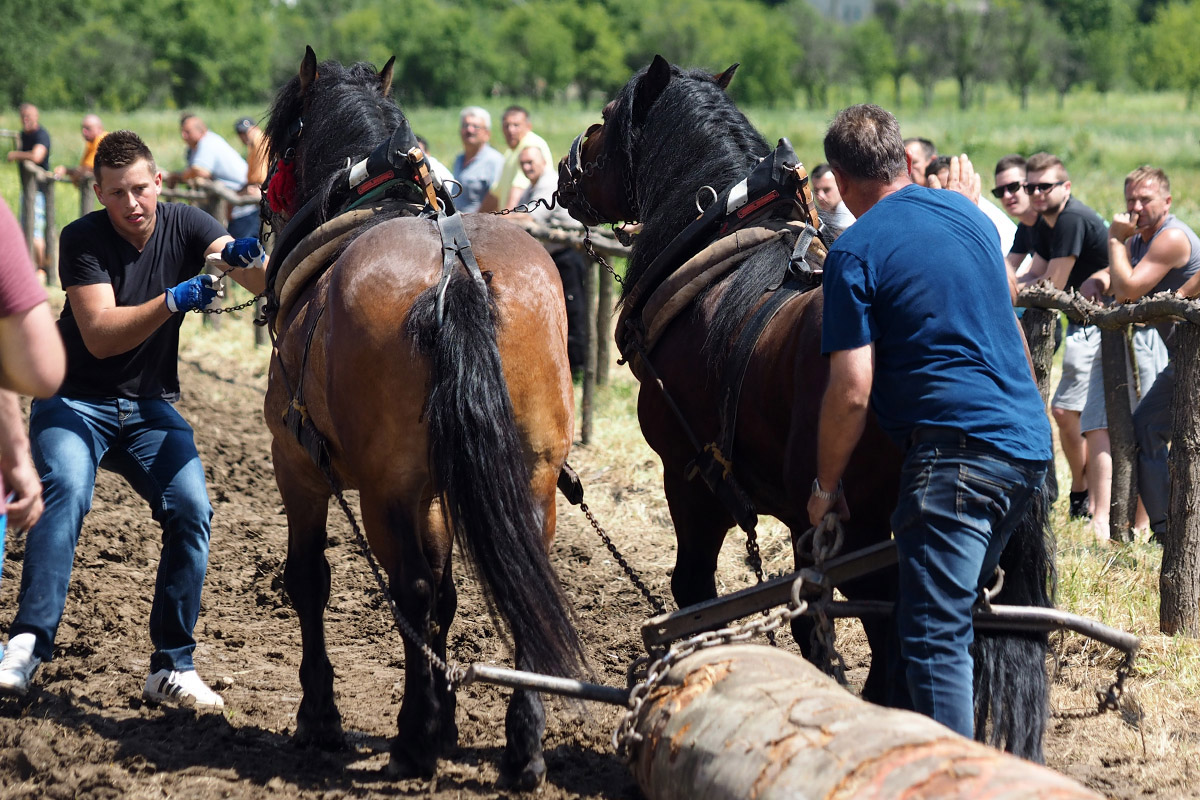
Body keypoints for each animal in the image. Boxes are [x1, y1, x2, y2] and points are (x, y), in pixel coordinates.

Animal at [261, 47, 585, 788]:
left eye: (279, 143)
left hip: (386, 490)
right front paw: (448, 720)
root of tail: (455, 268)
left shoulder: (297, 468)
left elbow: (310, 581)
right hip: (529, 477)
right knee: (520, 584)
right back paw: (522, 746)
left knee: (406, 590)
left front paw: (321, 717)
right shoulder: (439, 489)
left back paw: (410, 742)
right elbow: (447, 595)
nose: (262, 207)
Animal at [557, 55, 1055, 760]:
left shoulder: (691, 478)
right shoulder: (797, 522)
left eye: (605, 115)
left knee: (898, 655)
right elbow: (808, 624)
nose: (566, 170)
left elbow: (694, 591)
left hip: (871, 545)